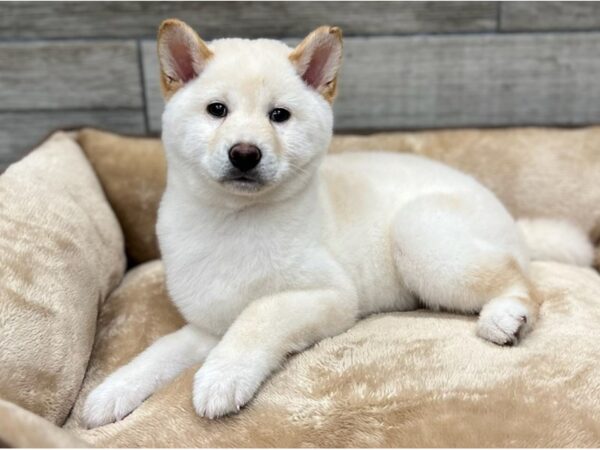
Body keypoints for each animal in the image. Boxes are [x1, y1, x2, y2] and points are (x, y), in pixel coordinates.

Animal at [82, 17, 592, 426]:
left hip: (419, 233)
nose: (245, 153)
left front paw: (222, 376)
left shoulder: (326, 295)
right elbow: (157, 353)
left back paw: (505, 316)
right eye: (217, 110)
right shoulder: (208, 326)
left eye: (279, 116)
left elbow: (257, 318)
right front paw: (113, 391)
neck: (234, 224)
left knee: (523, 282)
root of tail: (509, 218)